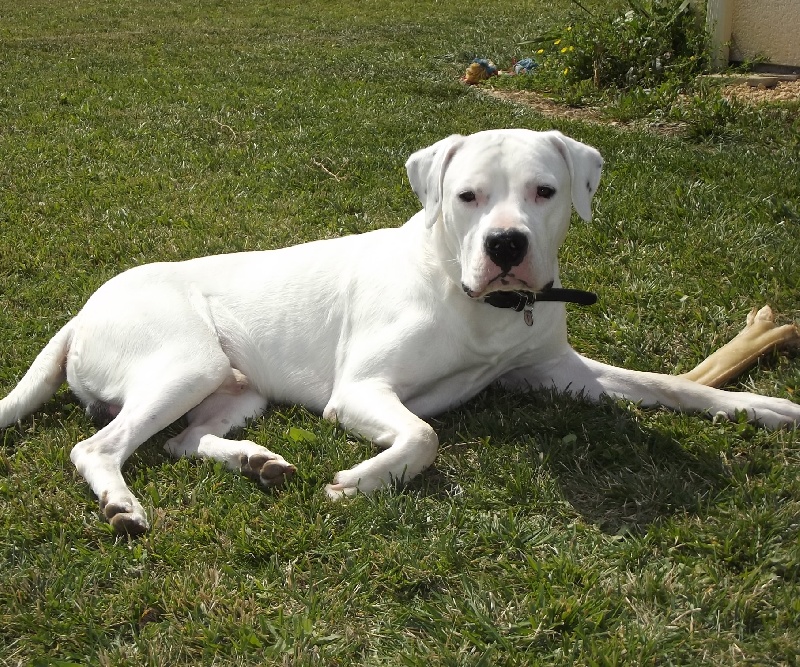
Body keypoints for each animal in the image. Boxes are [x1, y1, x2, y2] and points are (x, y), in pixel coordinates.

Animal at [2, 129, 798, 534]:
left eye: (545, 192)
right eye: (466, 196)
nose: (506, 244)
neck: (479, 304)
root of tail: (81, 311)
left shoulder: (556, 371)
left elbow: (672, 385)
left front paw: (761, 407)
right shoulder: (362, 389)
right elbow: (423, 434)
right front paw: (358, 483)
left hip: (236, 387)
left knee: (177, 440)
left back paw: (257, 462)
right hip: (184, 361)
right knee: (99, 446)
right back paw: (122, 504)